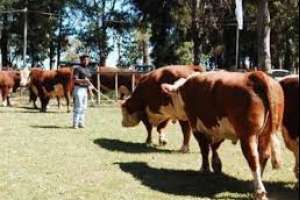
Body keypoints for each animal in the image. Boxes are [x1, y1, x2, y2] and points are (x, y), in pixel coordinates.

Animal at [159, 71, 284, 199]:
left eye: (170, 97)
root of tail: (254, 75)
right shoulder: (219, 128)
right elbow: (214, 146)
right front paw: (216, 165)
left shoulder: (196, 127)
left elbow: (204, 150)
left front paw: (205, 169)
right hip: (267, 132)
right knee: (263, 155)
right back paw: (253, 185)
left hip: (248, 135)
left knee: (253, 158)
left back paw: (259, 191)